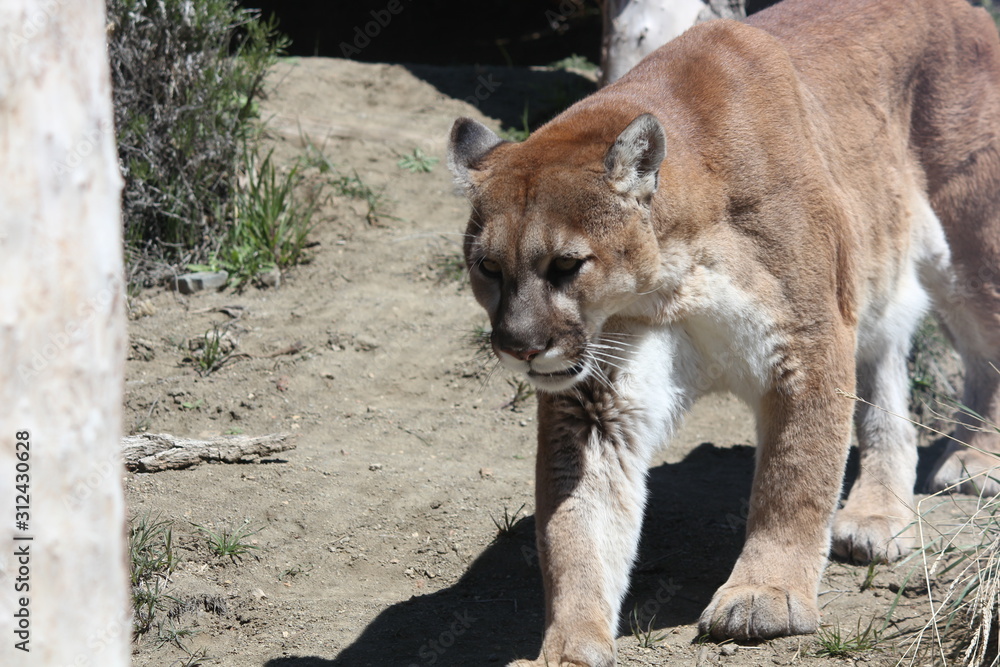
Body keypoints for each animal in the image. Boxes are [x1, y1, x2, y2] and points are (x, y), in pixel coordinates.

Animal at [447, 0, 1000, 663]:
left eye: (566, 265)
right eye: (487, 268)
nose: (520, 347)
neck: (670, 275)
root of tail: (966, 13)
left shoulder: (808, 339)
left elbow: (795, 474)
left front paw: (766, 594)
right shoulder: (596, 394)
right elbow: (577, 520)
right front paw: (570, 643)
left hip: (972, 246)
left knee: (986, 349)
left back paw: (975, 459)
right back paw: (876, 513)